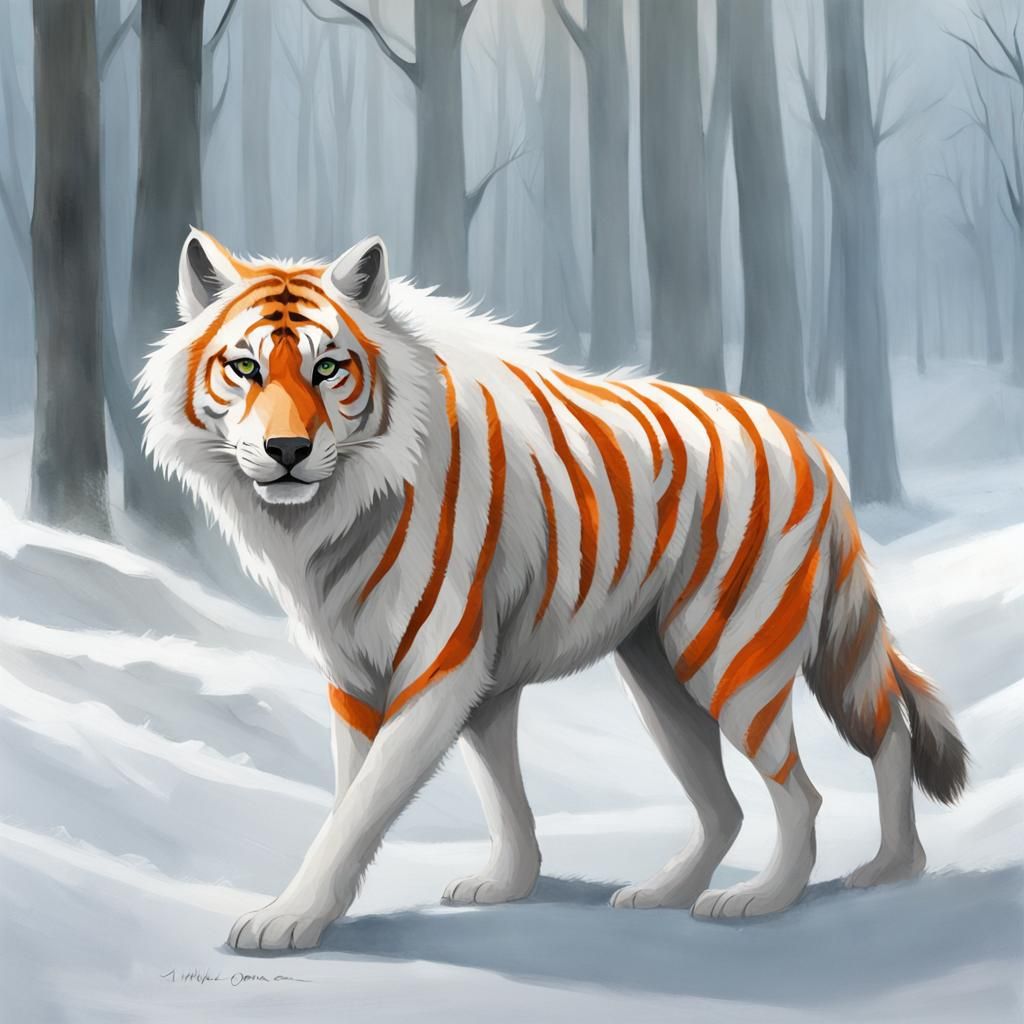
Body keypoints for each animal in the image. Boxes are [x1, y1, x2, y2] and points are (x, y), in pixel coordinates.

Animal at [139, 230, 967, 952]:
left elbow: (358, 811)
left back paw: (776, 894)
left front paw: (285, 920)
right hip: (662, 676)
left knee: (821, 778)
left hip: (732, 659)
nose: (287, 450)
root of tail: (808, 442)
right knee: (742, 797)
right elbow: (462, 797)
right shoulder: (381, 679)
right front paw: (503, 884)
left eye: (327, 369)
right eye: (245, 368)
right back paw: (699, 888)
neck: (329, 516)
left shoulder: (440, 670)